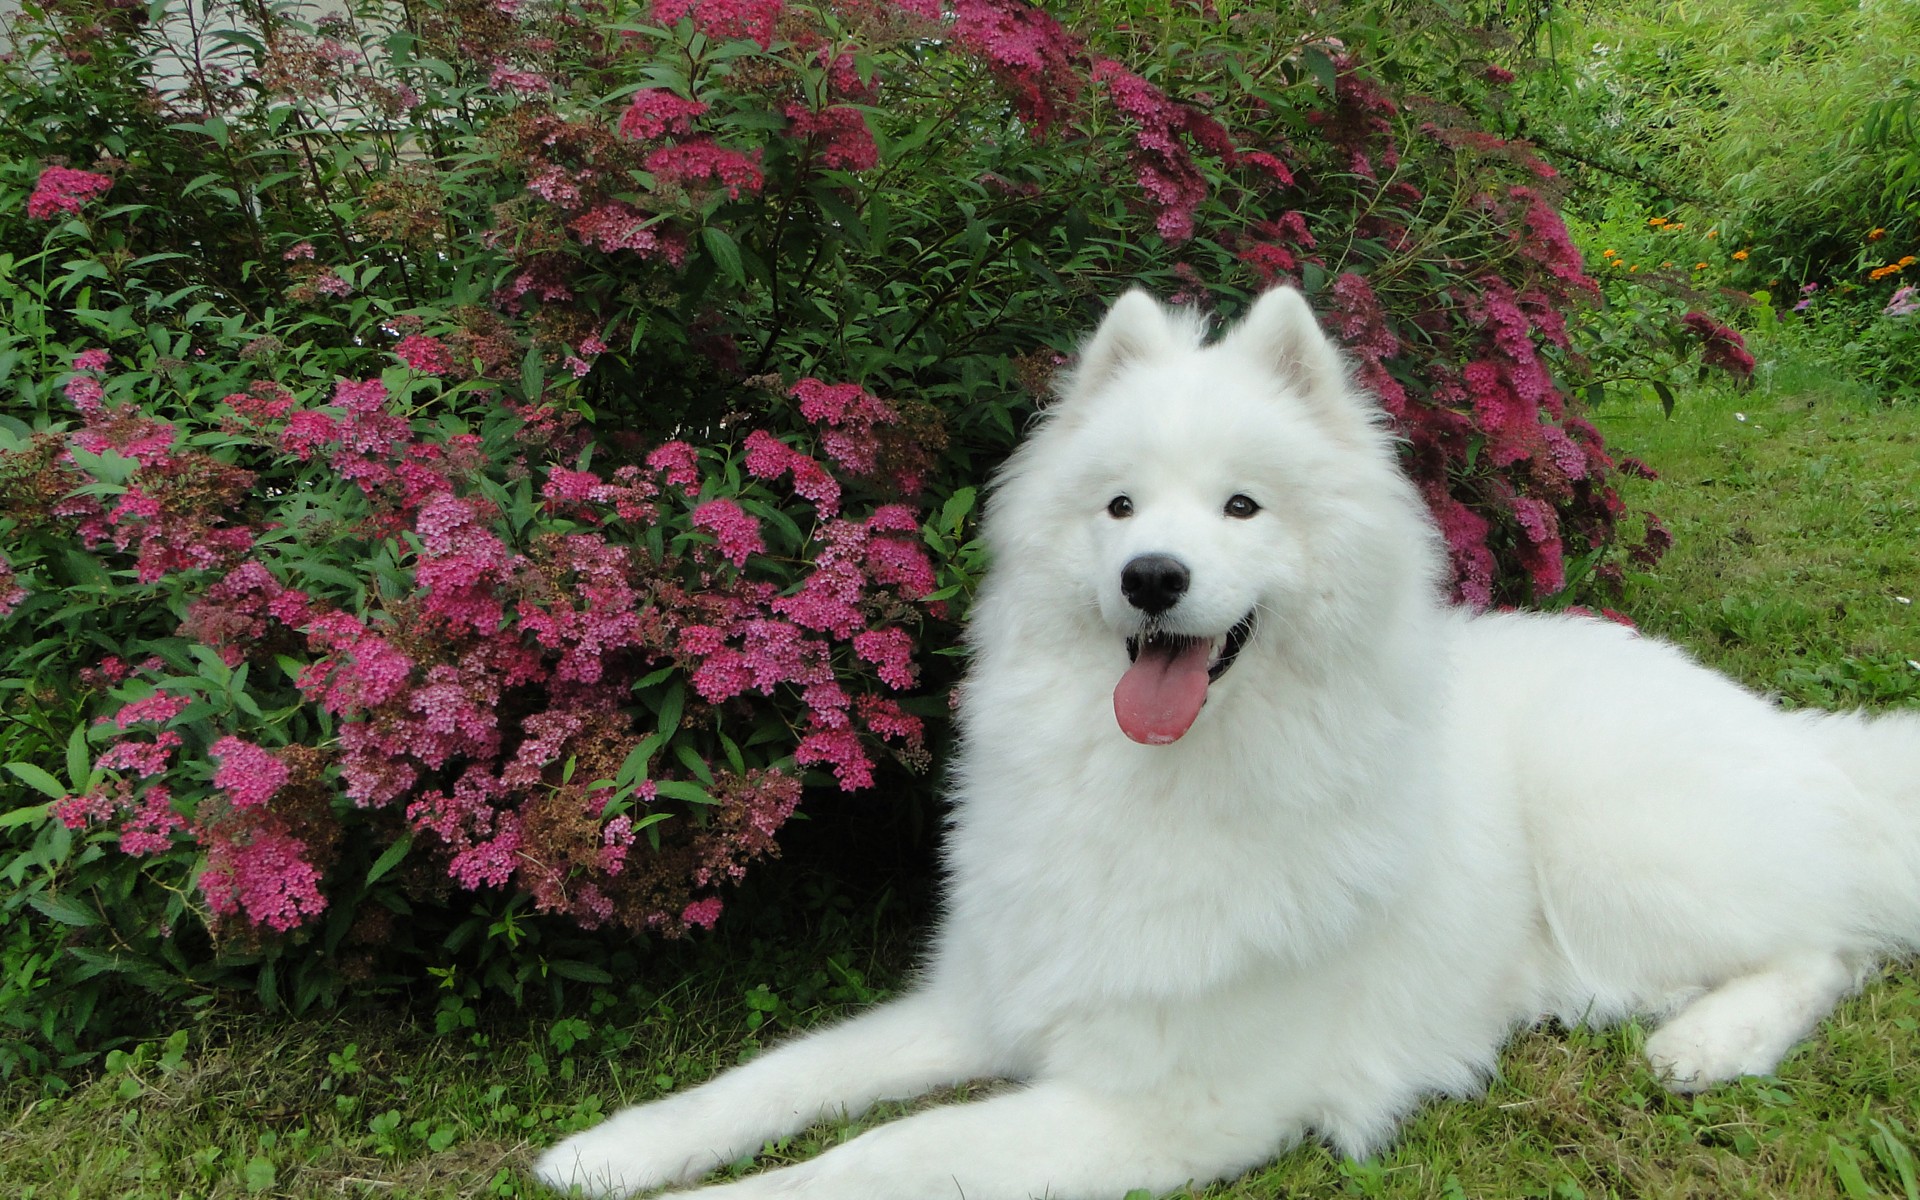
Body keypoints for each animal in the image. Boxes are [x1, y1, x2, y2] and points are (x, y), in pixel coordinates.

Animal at [537, 286, 1920, 1190]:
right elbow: (777, 1075)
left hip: (1620, 854)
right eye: (1120, 507)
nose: (1152, 576)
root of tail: (1806, 741)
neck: (1157, 783)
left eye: (1242, 507)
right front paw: (611, 1147)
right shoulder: (986, 1001)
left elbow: (878, 1154)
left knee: (1834, 944)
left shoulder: (1162, 1107)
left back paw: (1708, 1043)